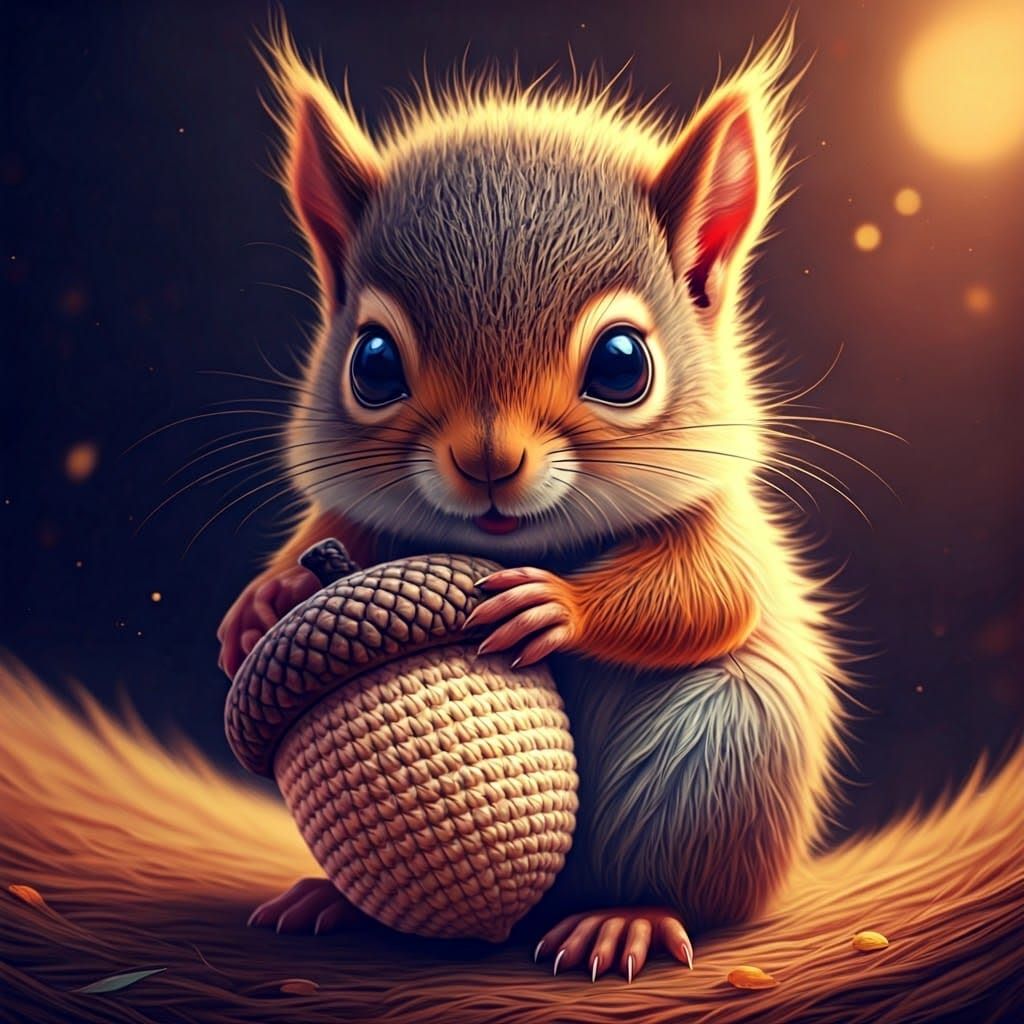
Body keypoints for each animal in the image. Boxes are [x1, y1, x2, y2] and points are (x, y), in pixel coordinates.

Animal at [217, 22, 846, 981]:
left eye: (623, 363)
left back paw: (622, 917)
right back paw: (333, 902)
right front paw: (266, 600)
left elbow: (709, 594)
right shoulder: (353, 520)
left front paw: (556, 607)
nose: (488, 461)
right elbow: (323, 535)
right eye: (371, 363)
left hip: (724, 756)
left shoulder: (723, 526)